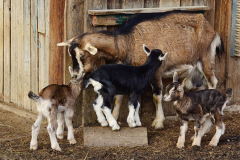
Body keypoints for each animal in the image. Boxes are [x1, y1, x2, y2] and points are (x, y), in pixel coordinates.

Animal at [57, 10, 223, 129]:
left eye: (82, 55)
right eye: (70, 54)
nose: (75, 76)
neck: (126, 42)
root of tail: (211, 28)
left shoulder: (156, 72)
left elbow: (157, 97)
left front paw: (158, 123)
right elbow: (119, 98)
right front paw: (115, 118)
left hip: (206, 57)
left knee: (212, 81)